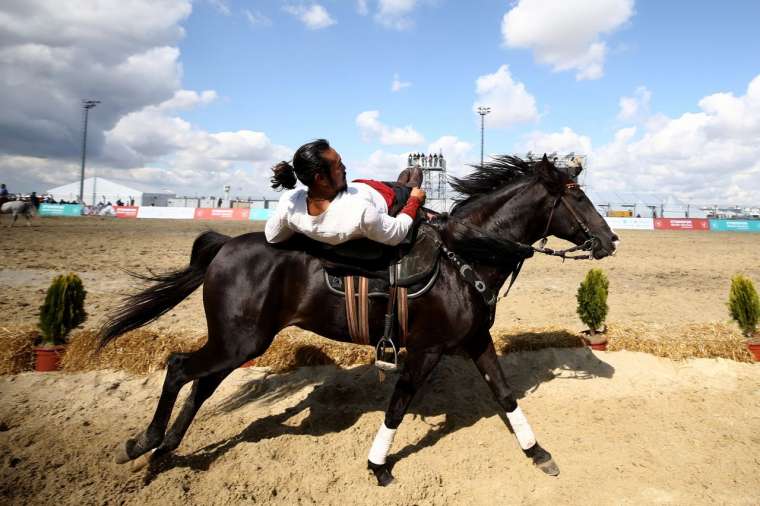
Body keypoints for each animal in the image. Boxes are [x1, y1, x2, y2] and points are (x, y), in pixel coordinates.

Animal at [99, 155, 616, 486]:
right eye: (578, 197)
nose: (610, 239)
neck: (463, 255)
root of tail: (225, 245)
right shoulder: (426, 350)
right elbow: (398, 406)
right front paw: (378, 465)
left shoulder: (475, 341)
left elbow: (505, 395)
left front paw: (538, 452)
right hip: (238, 342)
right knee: (178, 368)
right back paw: (145, 442)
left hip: (237, 342)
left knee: (201, 384)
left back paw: (167, 447)